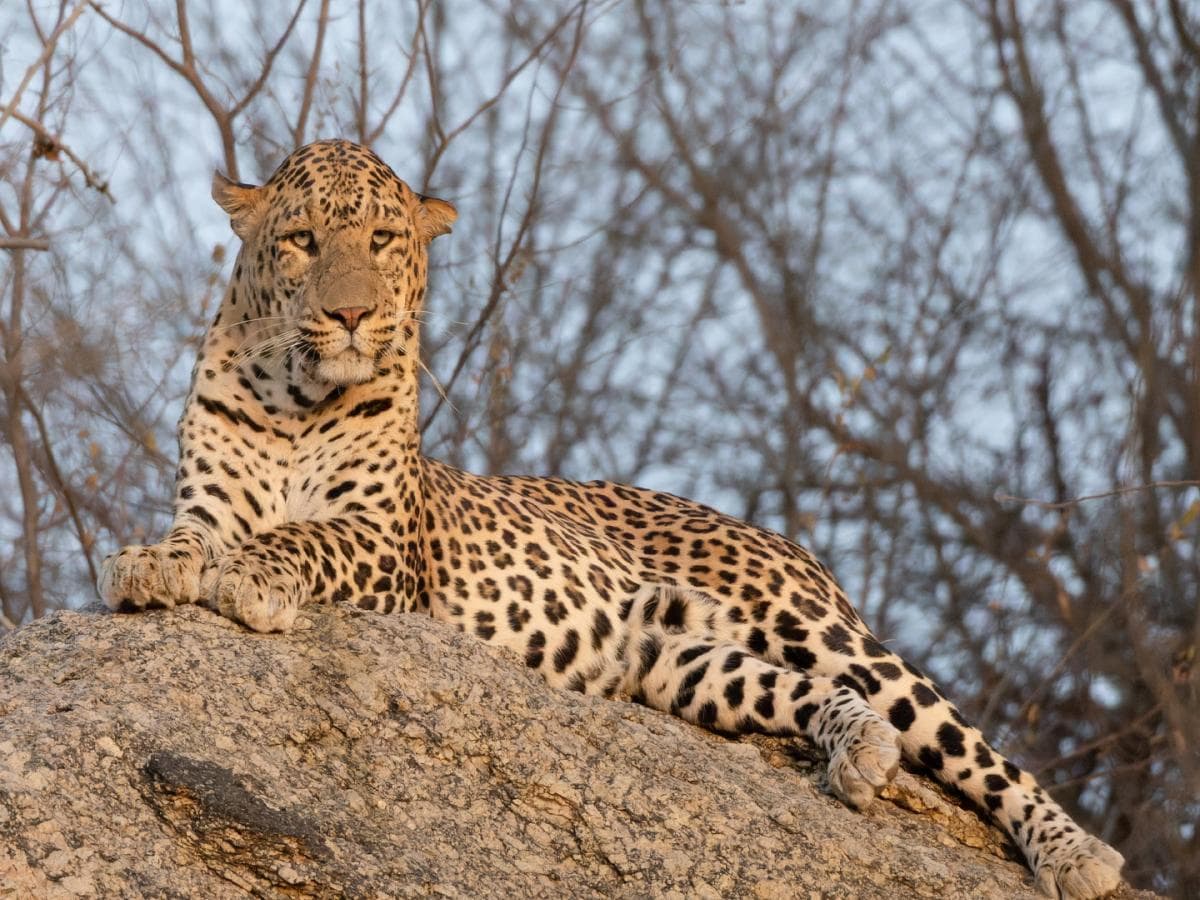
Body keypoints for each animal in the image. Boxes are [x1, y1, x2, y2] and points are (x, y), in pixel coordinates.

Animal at [99, 139, 1125, 899]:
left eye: (385, 239)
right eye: (304, 241)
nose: (352, 315)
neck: (295, 399)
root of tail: (781, 537)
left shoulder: (385, 543)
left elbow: (305, 535)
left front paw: (252, 575)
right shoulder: (209, 497)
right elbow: (192, 535)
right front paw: (149, 564)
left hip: (815, 625)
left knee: (972, 746)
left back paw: (1076, 853)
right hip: (680, 663)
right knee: (811, 697)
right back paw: (859, 753)